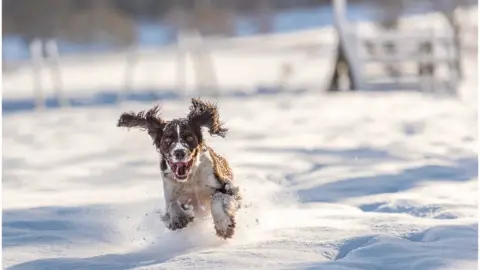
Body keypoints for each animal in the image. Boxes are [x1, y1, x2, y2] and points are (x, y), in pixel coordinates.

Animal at [116, 98, 242, 238]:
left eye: (189, 137)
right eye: (168, 139)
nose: (179, 152)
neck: (190, 178)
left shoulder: (224, 184)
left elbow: (218, 198)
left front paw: (224, 225)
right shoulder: (170, 189)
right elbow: (172, 204)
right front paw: (179, 218)